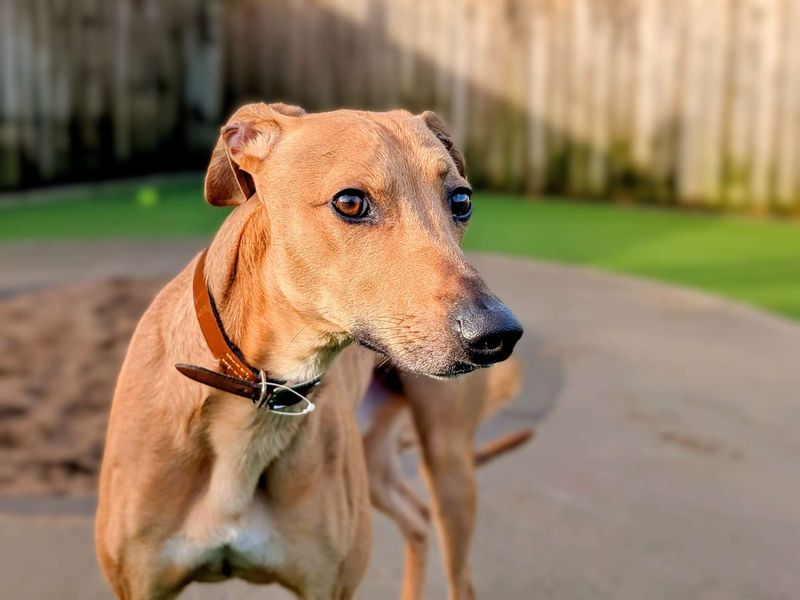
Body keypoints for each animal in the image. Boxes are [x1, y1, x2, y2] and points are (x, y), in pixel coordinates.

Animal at [95, 104, 524, 600]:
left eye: (461, 201)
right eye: (350, 202)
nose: (498, 334)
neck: (258, 397)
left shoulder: (328, 586)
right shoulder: (139, 585)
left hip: (448, 465)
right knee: (416, 519)